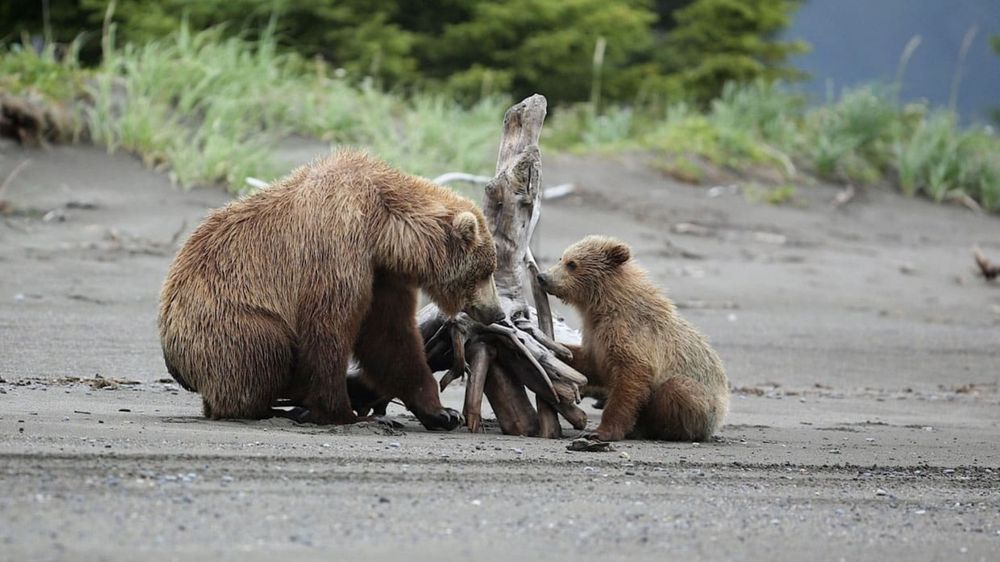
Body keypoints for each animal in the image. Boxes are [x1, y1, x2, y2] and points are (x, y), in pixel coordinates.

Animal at [159, 149, 504, 428]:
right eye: (486, 271)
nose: (496, 311)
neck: (384, 230)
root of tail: (174, 361)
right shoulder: (338, 246)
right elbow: (329, 329)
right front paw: (341, 413)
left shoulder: (382, 274)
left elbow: (391, 338)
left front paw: (442, 412)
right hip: (225, 321)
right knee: (263, 351)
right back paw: (273, 406)